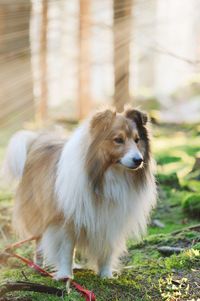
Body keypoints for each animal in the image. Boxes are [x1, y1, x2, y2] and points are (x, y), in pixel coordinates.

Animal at [2, 106, 157, 278]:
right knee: (39, 241)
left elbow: (107, 250)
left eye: (137, 140)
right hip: (40, 211)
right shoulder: (65, 220)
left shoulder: (111, 220)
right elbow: (67, 250)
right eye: (118, 139)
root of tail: (38, 139)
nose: (139, 160)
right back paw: (39, 265)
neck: (108, 174)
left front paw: (106, 276)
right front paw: (65, 275)